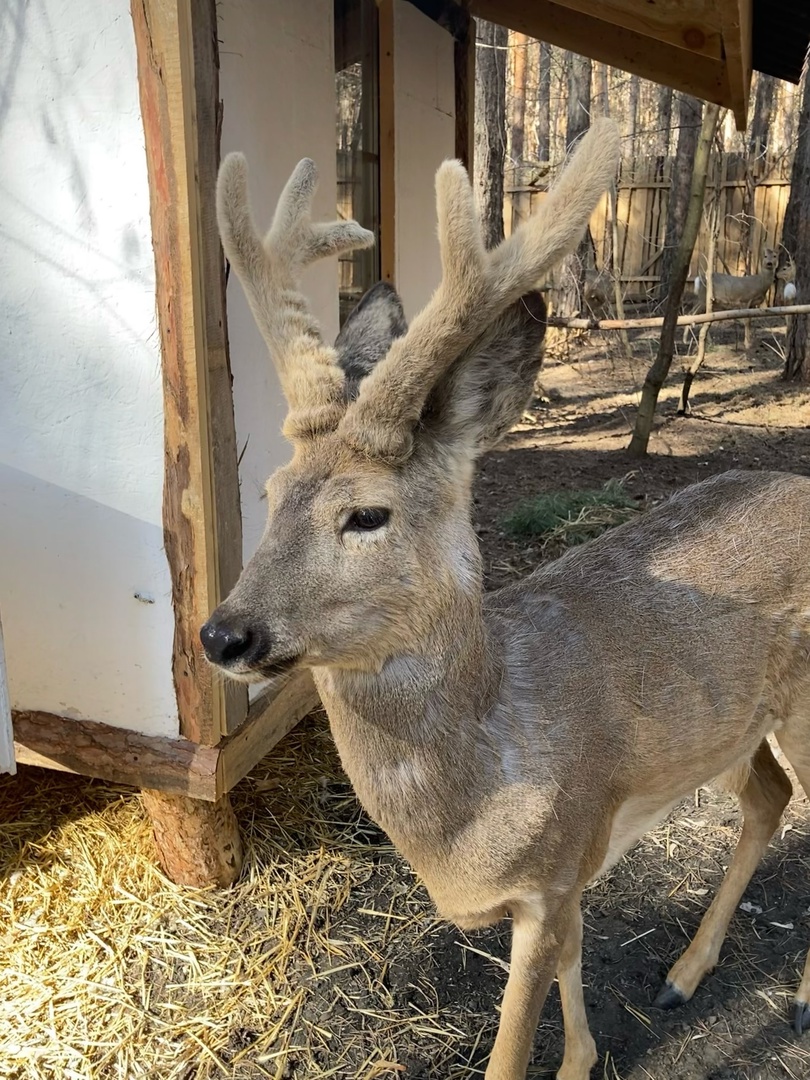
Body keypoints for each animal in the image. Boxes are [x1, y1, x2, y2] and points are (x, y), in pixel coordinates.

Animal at [201, 120, 810, 1080]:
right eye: (268, 492)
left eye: (366, 513)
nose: (224, 633)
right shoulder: (569, 876)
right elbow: (572, 959)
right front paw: (585, 1056)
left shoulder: (552, 871)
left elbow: (512, 1040)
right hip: (733, 726)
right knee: (767, 797)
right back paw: (684, 974)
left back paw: (795, 999)